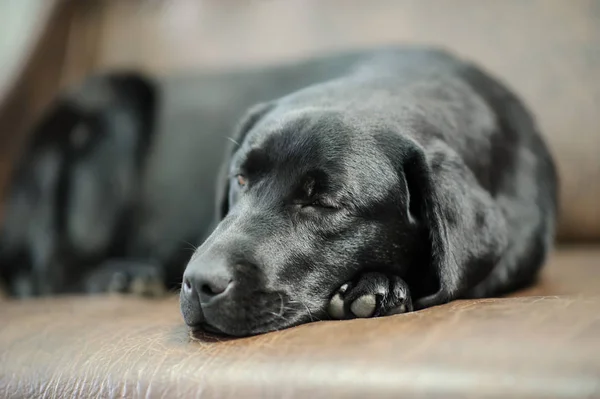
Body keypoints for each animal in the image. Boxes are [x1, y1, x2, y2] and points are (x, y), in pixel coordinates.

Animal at [0, 47, 556, 340]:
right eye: (240, 180)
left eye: (323, 201)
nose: (196, 283)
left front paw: (378, 287)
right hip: (109, 105)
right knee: (41, 271)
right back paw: (123, 275)